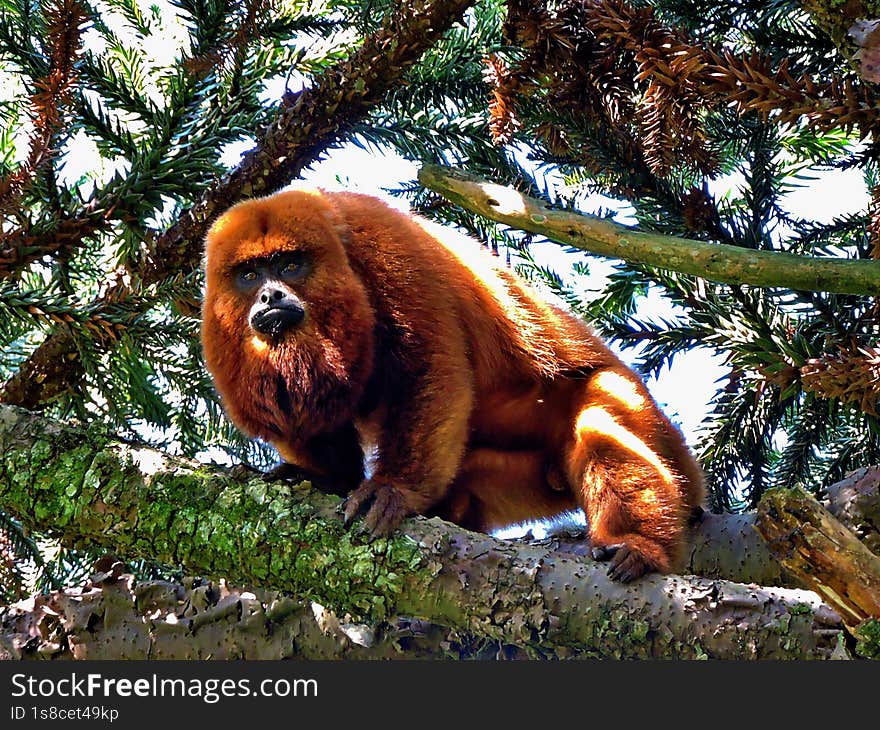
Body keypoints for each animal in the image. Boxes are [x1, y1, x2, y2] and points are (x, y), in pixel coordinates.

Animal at [203, 188, 704, 580]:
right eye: (249, 275)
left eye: (290, 265)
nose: (270, 296)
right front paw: (322, 477)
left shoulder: (386, 246)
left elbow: (429, 364)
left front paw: (393, 489)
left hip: (623, 395)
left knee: (602, 423)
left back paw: (636, 546)